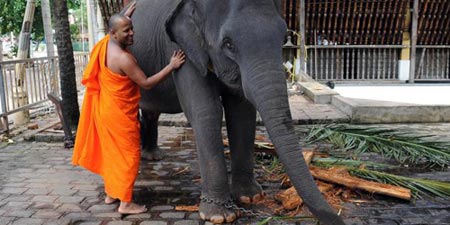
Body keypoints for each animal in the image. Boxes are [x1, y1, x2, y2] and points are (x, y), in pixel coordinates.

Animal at [123, 0, 344, 223]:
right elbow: (206, 111)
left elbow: (241, 111)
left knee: (151, 113)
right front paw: (219, 216)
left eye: (283, 38)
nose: (338, 219)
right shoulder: (180, 49)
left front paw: (251, 197)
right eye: (228, 44)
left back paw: (153, 156)